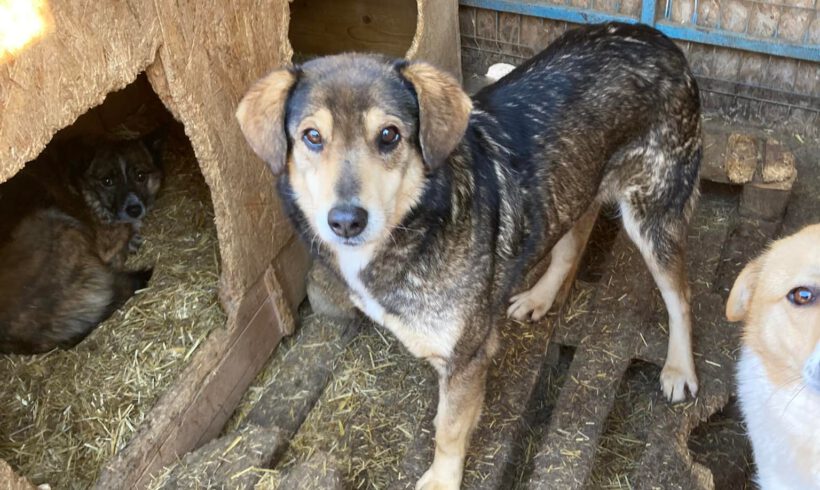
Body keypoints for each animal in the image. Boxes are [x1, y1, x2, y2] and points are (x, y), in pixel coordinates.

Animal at [0, 132, 165, 354]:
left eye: (140, 176)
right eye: (107, 181)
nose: (134, 209)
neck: (85, 188)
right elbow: (125, 233)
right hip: (61, 225)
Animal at [235, 21, 700, 488]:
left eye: (389, 135)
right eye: (312, 137)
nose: (346, 221)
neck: (418, 220)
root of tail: (659, 39)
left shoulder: (468, 356)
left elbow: (449, 428)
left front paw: (442, 479)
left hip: (653, 218)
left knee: (680, 297)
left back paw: (680, 369)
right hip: (574, 184)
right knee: (572, 239)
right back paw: (540, 297)